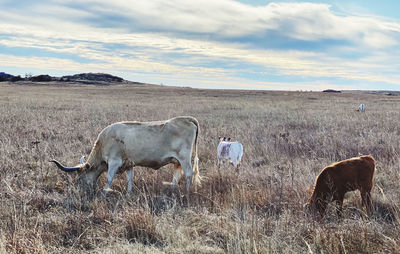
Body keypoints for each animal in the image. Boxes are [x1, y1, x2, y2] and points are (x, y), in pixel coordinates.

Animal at [50, 116, 200, 195]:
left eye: (80, 177)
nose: (80, 191)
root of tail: (187, 119)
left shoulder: (114, 162)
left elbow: (109, 177)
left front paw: (105, 192)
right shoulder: (129, 164)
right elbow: (130, 178)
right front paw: (129, 193)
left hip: (185, 158)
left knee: (188, 174)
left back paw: (186, 192)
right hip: (177, 161)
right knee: (176, 175)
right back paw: (171, 190)